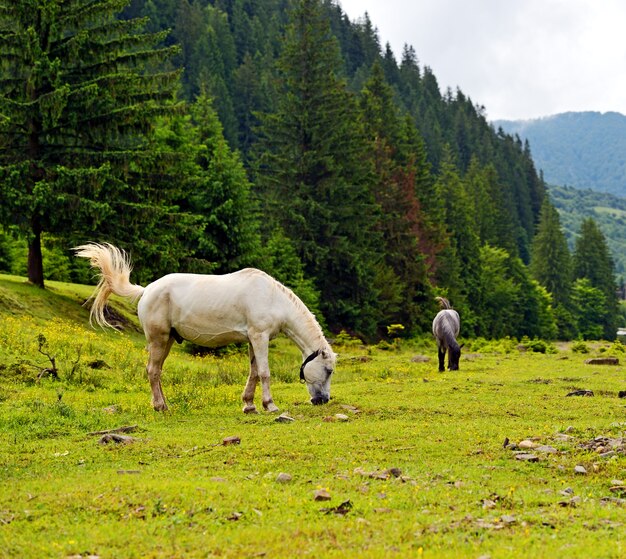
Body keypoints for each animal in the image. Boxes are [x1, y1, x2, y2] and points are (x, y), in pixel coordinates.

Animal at [74, 243, 336, 414]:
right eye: (329, 370)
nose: (323, 400)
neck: (272, 298)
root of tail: (146, 290)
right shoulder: (259, 337)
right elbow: (264, 372)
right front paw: (269, 405)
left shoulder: (253, 339)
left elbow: (253, 372)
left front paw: (249, 405)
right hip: (158, 339)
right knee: (152, 371)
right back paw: (160, 407)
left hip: (168, 340)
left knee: (157, 371)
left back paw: (164, 404)